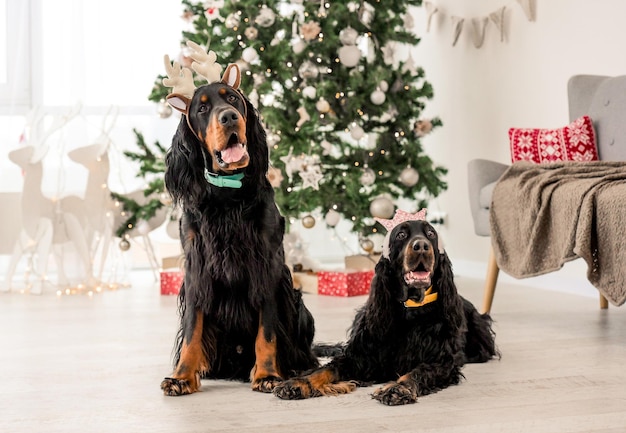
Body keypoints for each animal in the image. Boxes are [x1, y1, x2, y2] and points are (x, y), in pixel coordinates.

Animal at [272, 210, 498, 404]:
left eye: (431, 234)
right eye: (401, 234)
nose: (421, 246)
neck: (411, 309)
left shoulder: (441, 362)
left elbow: (418, 371)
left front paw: (398, 388)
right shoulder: (362, 356)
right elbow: (327, 369)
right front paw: (298, 383)